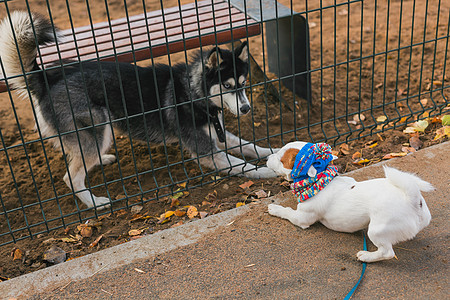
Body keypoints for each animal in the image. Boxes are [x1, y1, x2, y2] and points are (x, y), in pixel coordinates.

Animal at [0, 11, 278, 209]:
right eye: (227, 86)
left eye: (243, 83)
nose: (246, 108)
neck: (193, 93)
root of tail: (47, 80)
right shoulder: (206, 151)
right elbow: (242, 164)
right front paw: (267, 170)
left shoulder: (218, 135)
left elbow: (249, 146)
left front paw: (272, 152)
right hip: (99, 125)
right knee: (72, 177)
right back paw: (95, 203)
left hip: (98, 133)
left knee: (79, 156)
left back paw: (102, 160)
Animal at [268, 142, 432, 262]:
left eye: (281, 159)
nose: (268, 157)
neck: (320, 181)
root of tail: (412, 200)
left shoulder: (302, 218)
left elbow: (286, 211)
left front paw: (274, 208)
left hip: (376, 230)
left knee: (387, 252)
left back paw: (366, 256)